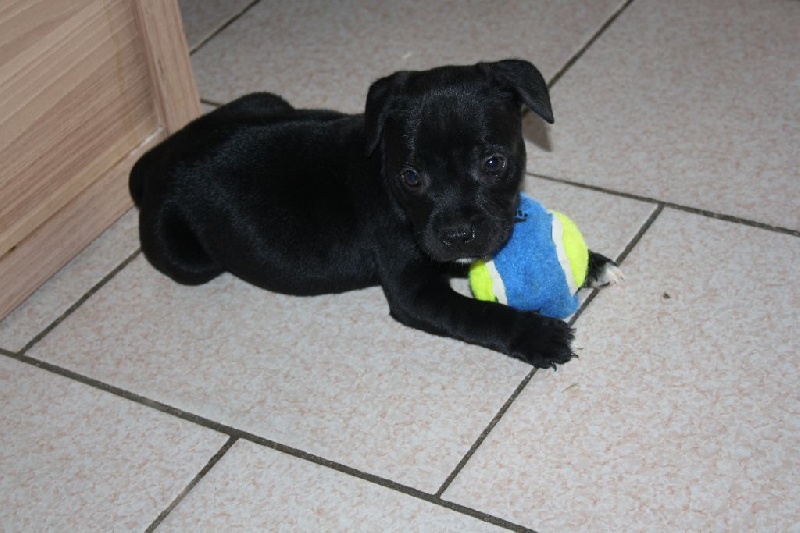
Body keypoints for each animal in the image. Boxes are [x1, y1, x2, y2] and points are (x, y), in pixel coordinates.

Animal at [130, 59, 619, 369]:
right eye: (411, 177)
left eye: (493, 163)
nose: (458, 234)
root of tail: (161, 162)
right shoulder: (414, 292)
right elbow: (476, 315)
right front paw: (537, 336)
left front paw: (592, 263)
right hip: (185, 257)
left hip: (264, 100)